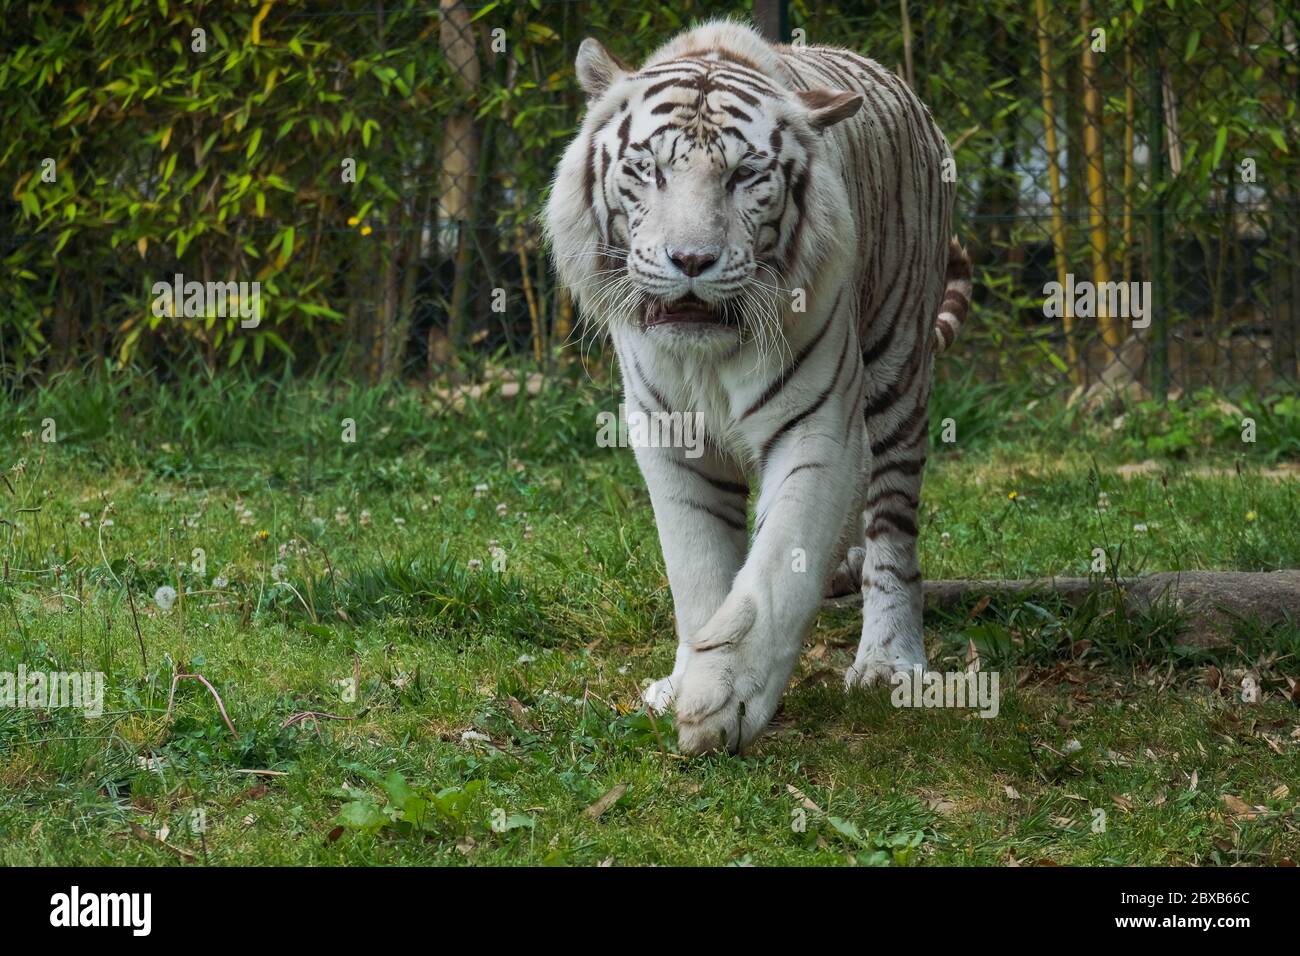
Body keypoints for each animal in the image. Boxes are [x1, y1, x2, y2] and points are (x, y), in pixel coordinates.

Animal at [543, 19, 972, 754]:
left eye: (745, 177)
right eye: (648, 170)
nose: (691, 260)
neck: (706, 358)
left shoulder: (818, 425)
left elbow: (775, 569)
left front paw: (724, 700)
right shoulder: (668, 432)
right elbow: (697, 572)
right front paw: (684, 680)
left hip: (897, 365)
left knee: (893, 528)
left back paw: (888, 660)